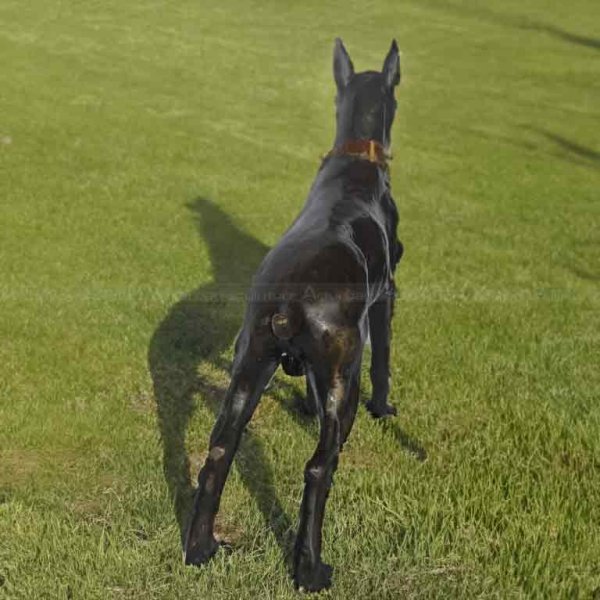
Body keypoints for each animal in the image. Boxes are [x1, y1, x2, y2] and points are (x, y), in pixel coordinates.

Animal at [184, 39, 404, 592]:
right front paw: (385, 408)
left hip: (250, 364)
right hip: (342, 379)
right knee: (318, 469)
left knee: (219, 453)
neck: (355, 162)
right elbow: (385, 360)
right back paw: (309, 568)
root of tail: (287, 301)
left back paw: (199, 547)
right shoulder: (387, 296)